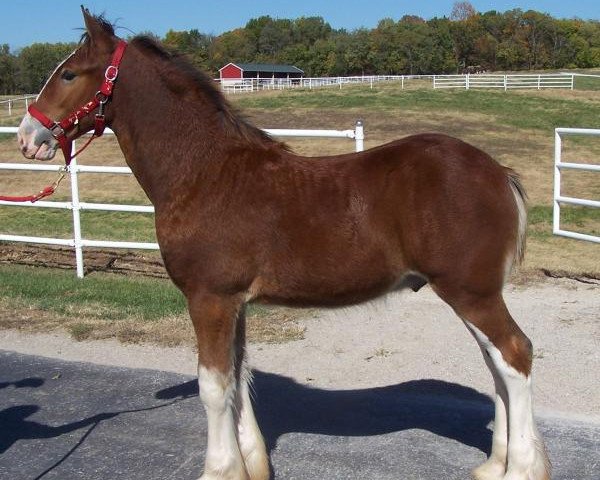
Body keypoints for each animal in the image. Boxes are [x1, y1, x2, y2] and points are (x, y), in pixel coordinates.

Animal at [17, 7, 552, 480]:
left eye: (68, 74)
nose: (27, 136)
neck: (203, 172)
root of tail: (498, 173)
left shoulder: (208, 298)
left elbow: (213, 386)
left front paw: (219, 470)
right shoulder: (233, 303)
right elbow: (238, 378)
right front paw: (251, 464)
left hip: (471, 292)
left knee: (515, 356)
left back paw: (521, 469)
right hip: (472, 294)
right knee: (497, 366)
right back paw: (494, 464)